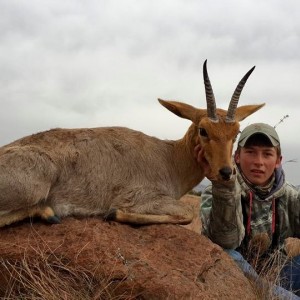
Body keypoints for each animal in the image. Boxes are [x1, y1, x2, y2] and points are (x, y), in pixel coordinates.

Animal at [0, 59, 264, 226]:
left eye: (237, 131)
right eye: (203, 130)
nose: (226, 172)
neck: (168, 157)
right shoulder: (141, 197)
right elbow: (186, 213)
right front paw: (114, 214)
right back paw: (48, 212)